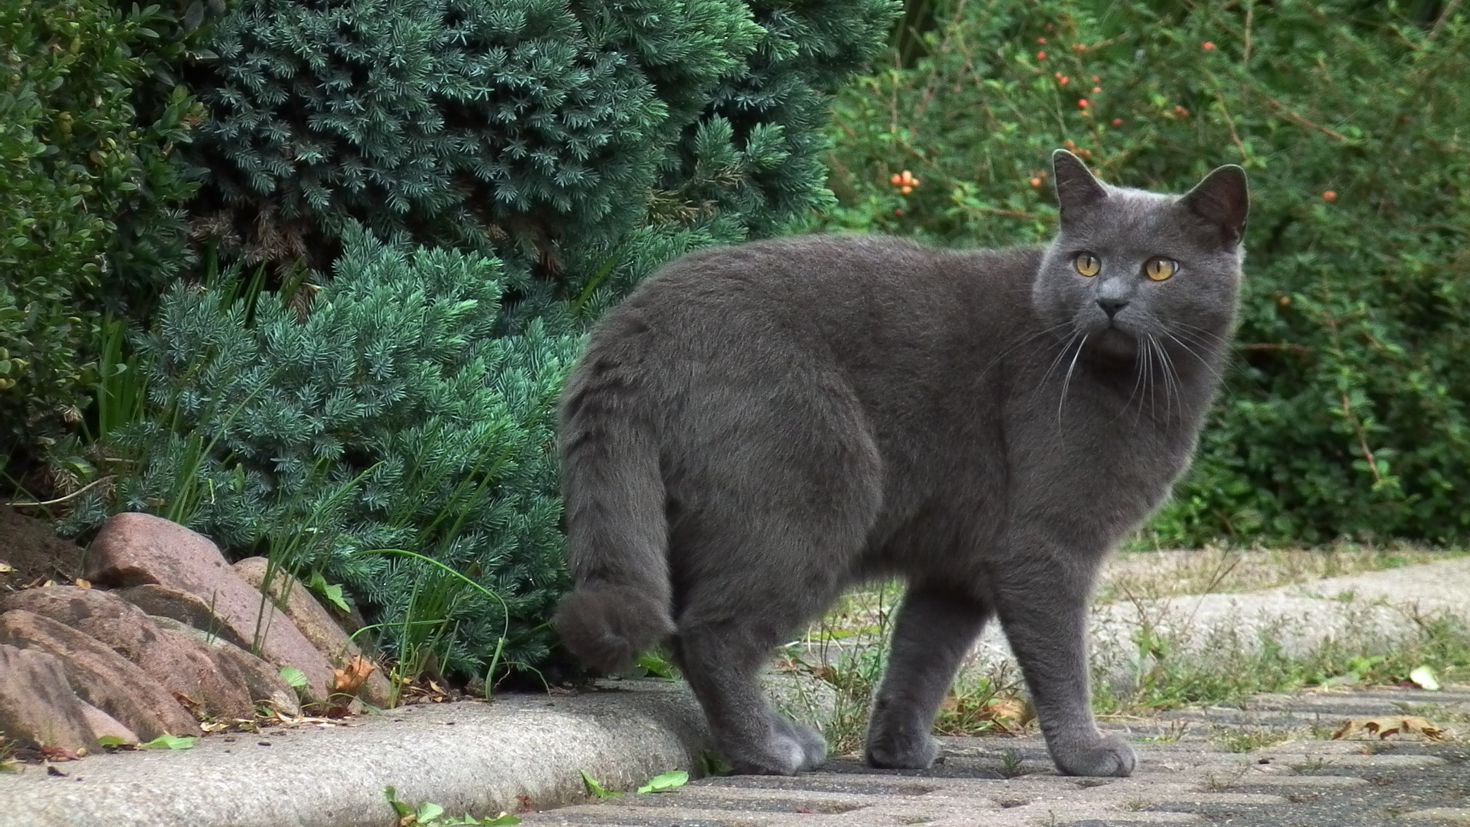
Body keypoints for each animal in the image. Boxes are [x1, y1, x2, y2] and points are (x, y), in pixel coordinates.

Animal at [555, 152, 1246, 781]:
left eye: (1160, 268)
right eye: (1087, 262)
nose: (1109, 301)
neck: (1146, 387)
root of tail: (632, 324)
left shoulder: (959, 564)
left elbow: (921, 655)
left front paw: (896, 750)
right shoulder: (1044, 544)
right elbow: (1061, 660)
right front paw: (1086, 754)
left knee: (687, 630)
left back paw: (787, 737)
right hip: (819, 494)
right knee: (709, 633)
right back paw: (769, 752)